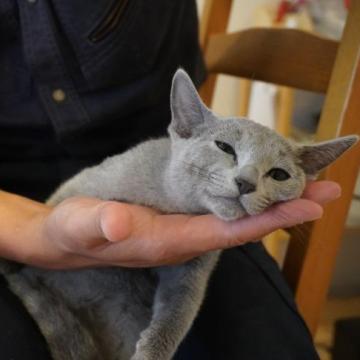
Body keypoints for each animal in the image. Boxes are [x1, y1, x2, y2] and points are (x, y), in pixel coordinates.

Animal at [2, 69, 358, 358]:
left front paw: (150, 353)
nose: (245, 182)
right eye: (225, 148)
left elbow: (178, 312)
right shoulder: (80, 187)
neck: (169, 202)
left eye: (279, 174)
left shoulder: (193, 270)